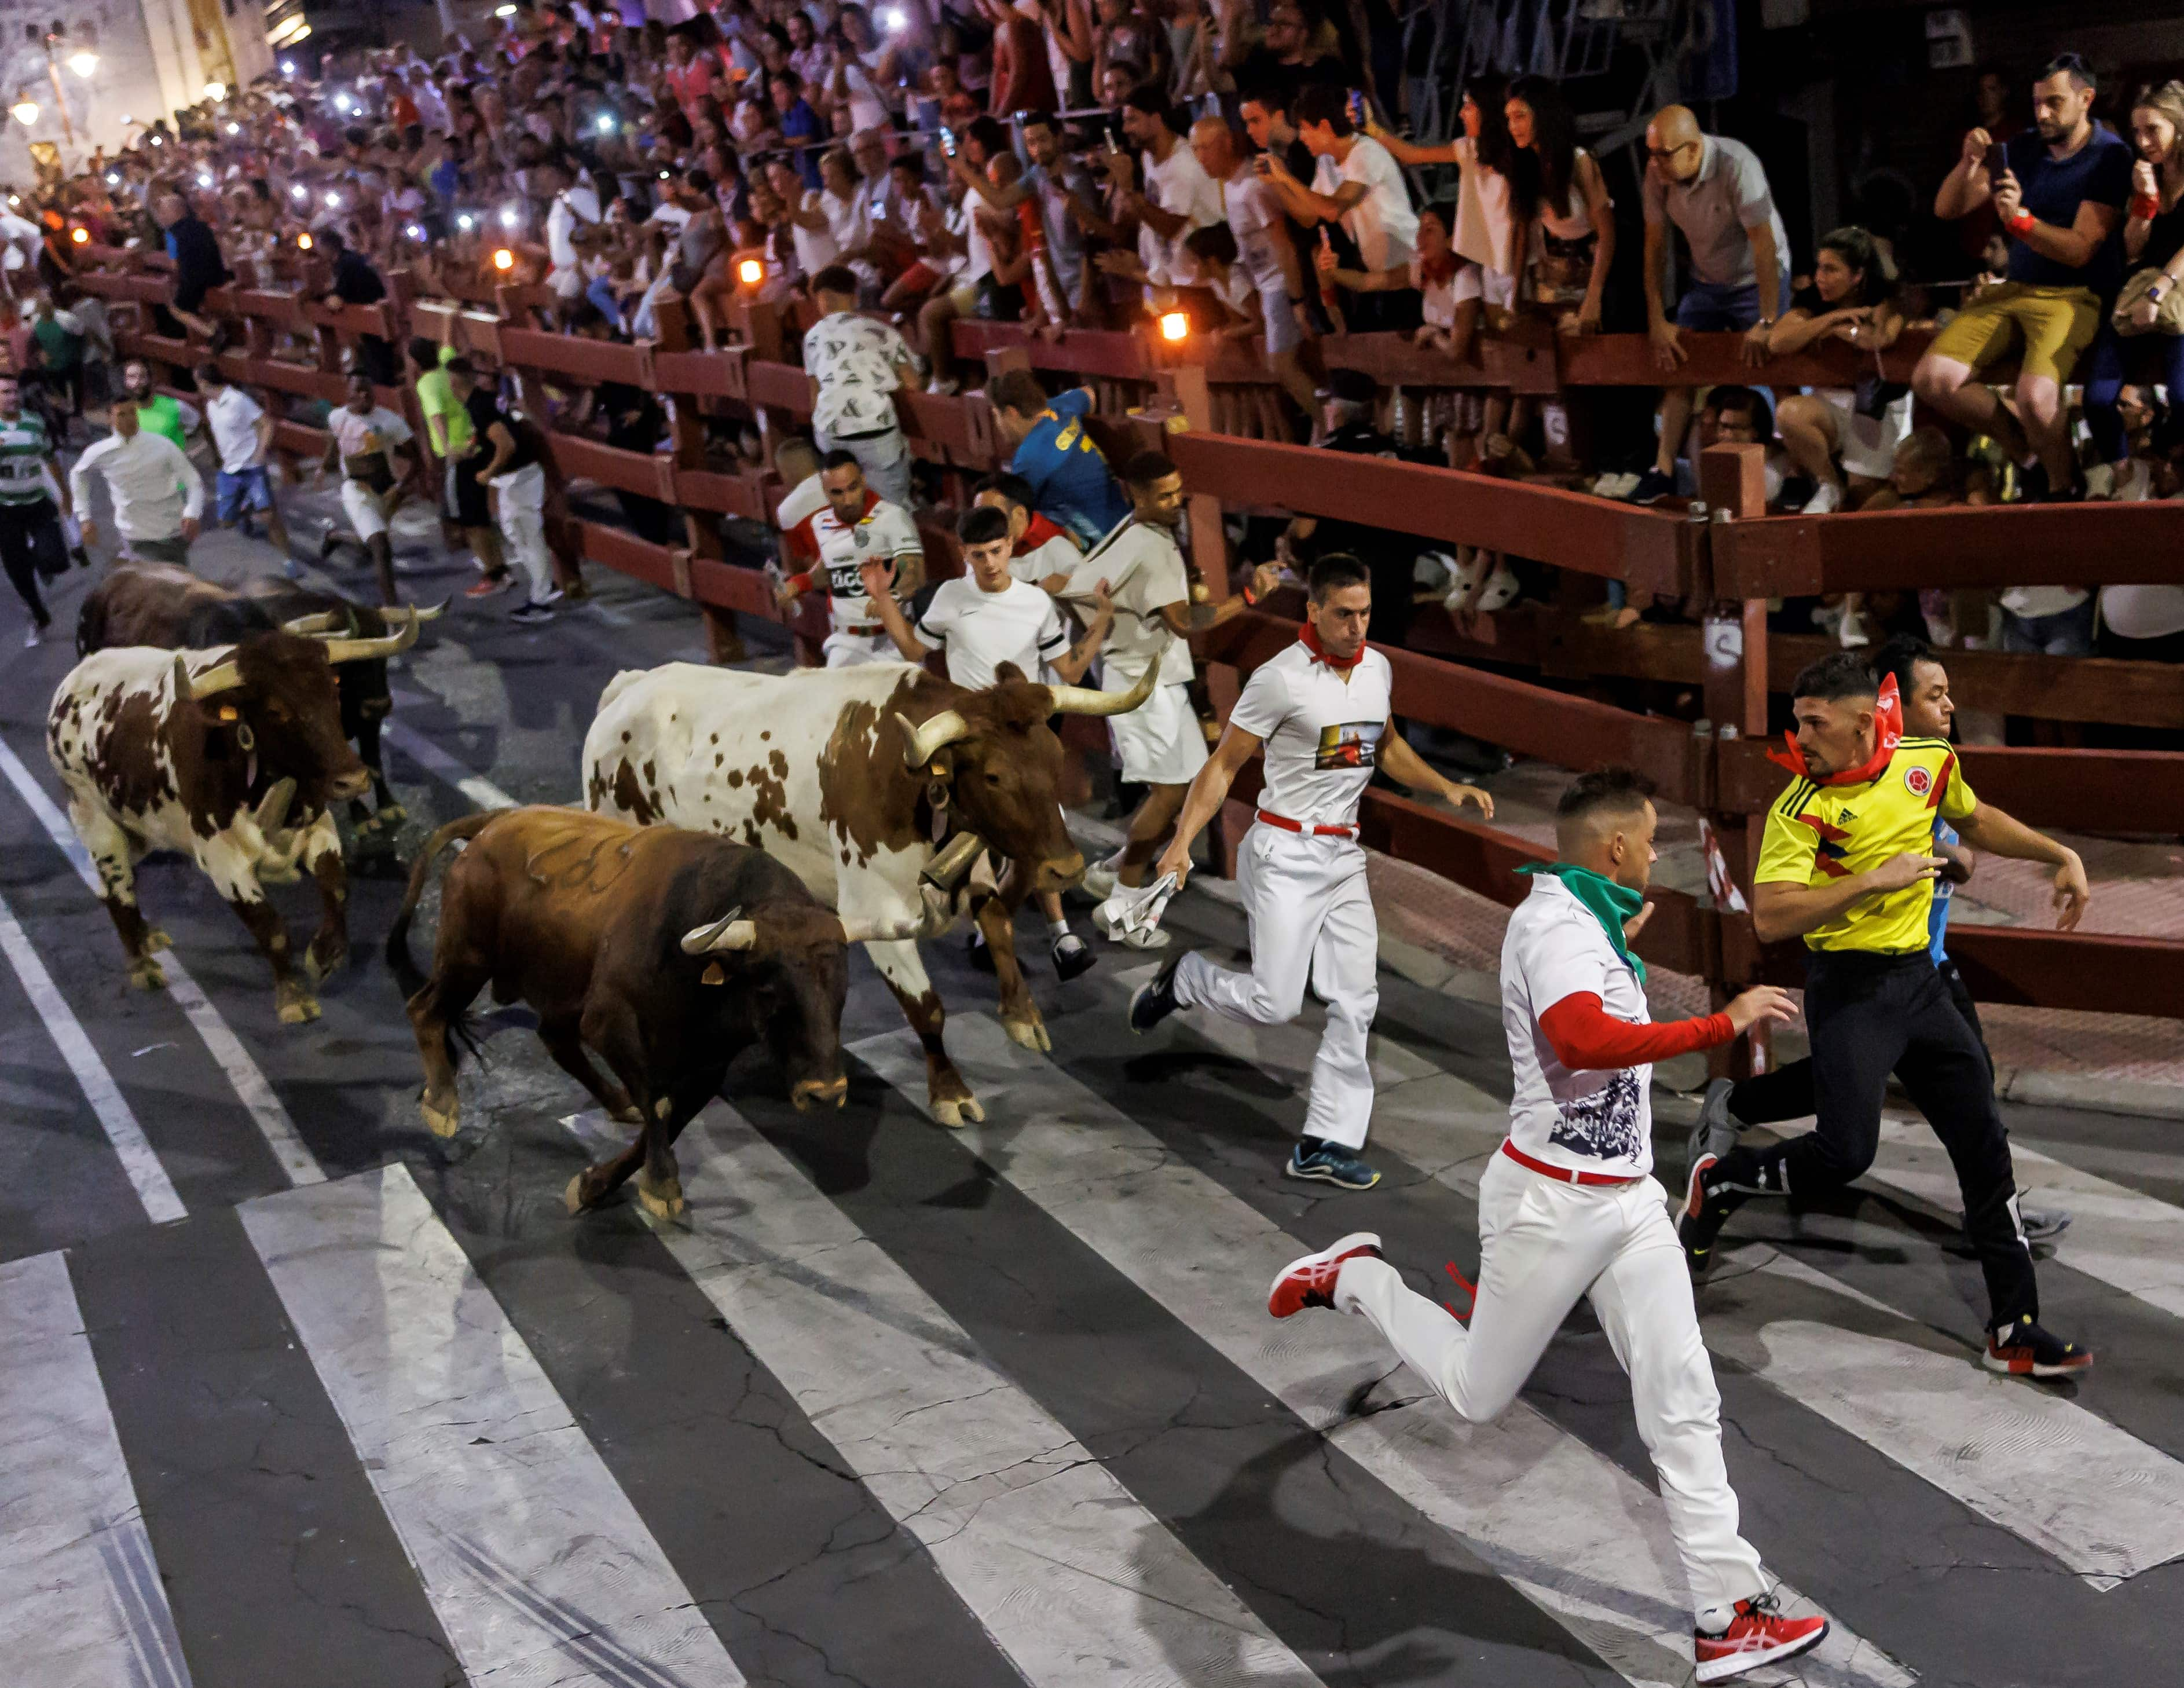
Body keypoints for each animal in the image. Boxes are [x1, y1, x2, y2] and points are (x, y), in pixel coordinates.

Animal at [45, 633, 391, 1021]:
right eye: (276, 710)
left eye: (333, 693)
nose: (353, 779)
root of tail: (69, 687)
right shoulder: (223, 859)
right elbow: (271, 929)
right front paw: (292, 997)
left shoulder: (318, 825)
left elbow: (336, 888)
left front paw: (324, 955)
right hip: (94, 819)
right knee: (118, 887)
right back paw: (142, 966)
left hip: (138, 830)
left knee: (112, 884)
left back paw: (146, 936)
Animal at [382, 808, 921, 1214]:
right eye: (770, 991)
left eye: (841, 993)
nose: (826, 1092)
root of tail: (496, 822)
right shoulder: (609, 1023)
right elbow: (657, 1103)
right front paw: (661, 1186)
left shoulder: (709, 1066)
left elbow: (668, 1116)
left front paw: (595, 1185)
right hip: (467, 957)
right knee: (424, 1008)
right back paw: (442, 1102)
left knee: (555, 1038)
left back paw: (613, 1103)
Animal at [581, 650, 1161, 1126]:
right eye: (995, 776)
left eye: (1056, 758)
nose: (1067, 868)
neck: (908, 780)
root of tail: (627, 688)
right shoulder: (876, 908)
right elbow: (927, 1007)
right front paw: (950, 1092)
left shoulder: (970, 866)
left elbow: (998, 925)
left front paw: (1022, 1015)